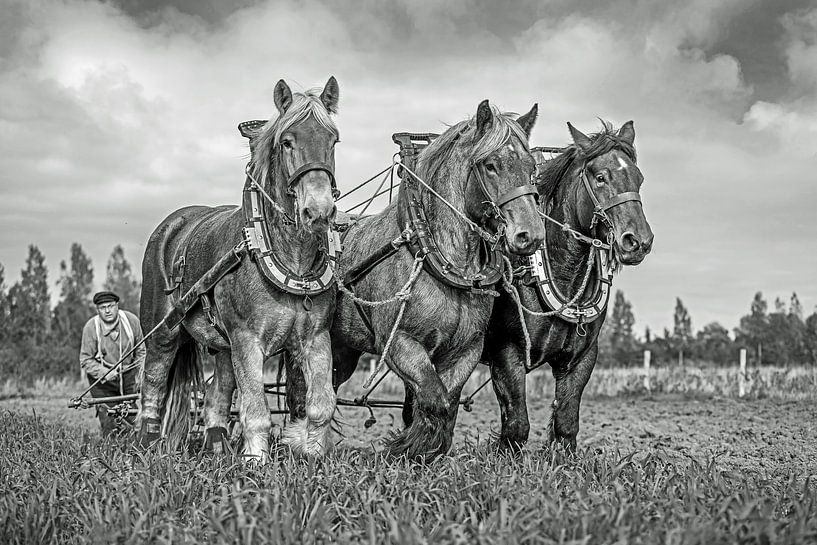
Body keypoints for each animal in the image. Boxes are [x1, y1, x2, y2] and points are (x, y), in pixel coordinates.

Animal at [136, 77, 341, 461]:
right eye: (287, 142)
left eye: (333, 140)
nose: (318, 211)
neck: (288, 259)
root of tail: (172, 224)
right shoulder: (247, 338)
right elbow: (256, 408)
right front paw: (255, 460)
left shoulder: (315, 337)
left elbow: (321, 403)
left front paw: (313, 457)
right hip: (163, 329)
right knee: (153, 381)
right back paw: (146, 442)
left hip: (223, 345)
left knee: (218, 394)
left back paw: (217, 447)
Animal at [327, 100, 546, 462]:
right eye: (490, 165)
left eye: (532, 169)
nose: (530, 235)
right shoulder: (400, 343)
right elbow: (435, 400)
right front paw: (406, 448)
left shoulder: (465, 350)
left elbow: (447, 403)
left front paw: (421, 450)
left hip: (342, 350)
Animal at [483, 120, 654, 452]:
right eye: (600, 177)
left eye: (639, 178)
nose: (639, 241)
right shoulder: (505, 352)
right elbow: (516, 426)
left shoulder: (581, 358)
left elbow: (565, 423)